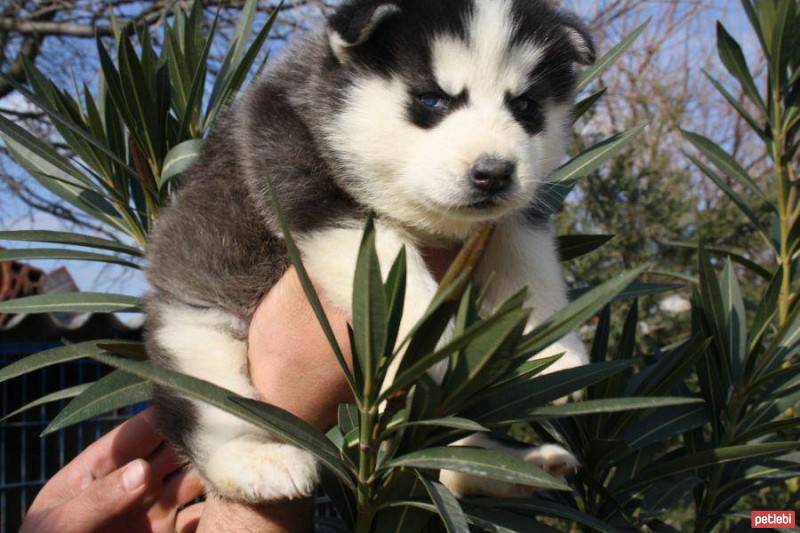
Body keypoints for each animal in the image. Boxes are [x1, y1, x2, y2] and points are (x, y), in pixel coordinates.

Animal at [145, 0, 592, 502]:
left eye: (526, 106)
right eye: (431, 100)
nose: (494, 173)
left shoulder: (519, 212)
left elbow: (530, 266)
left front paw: (556, 349)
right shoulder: (300, 174)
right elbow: (396, 266)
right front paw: (434, 342)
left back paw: (516, 468)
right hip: (194, 335)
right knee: (213, 410)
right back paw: (259, 461)